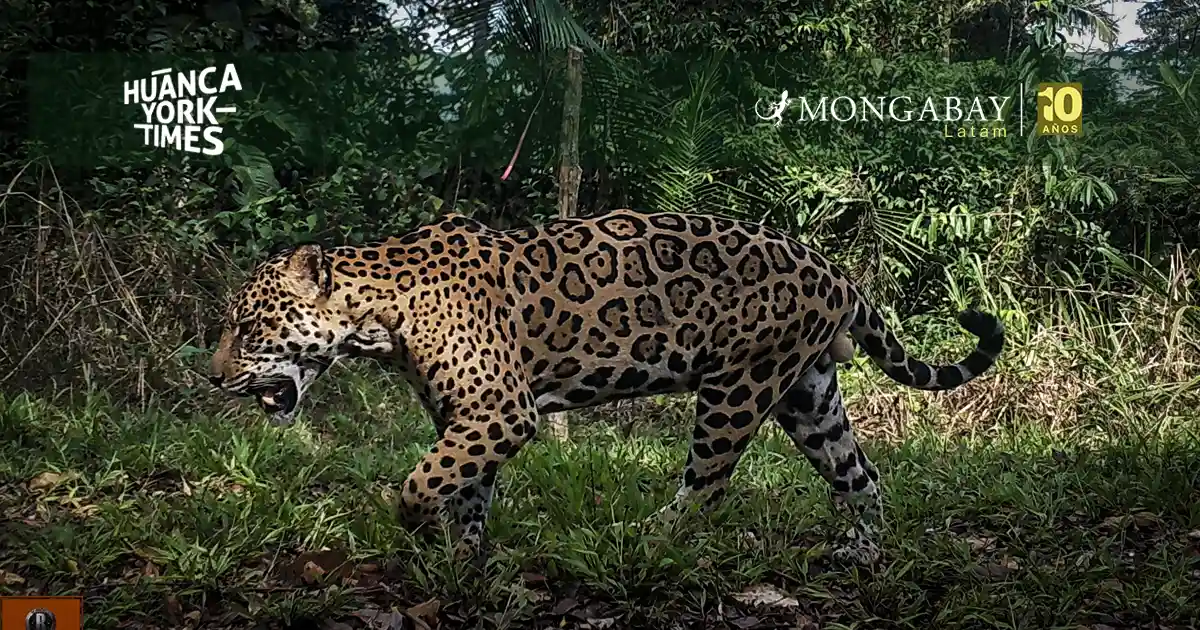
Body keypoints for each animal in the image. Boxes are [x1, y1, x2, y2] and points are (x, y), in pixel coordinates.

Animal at [209, 210, 1005, 566]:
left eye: (248, 328)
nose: (212, 377)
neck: (378, 314)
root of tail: (834, 271)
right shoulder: (467, 417)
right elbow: (463, 486)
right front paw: (464, 561)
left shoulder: (502, 410)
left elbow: (420, 481)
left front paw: (416, 528)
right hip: (807, 392)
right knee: (859, 473)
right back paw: (861, 555)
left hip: (738, 388)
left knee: (707, 486)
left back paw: (640, 540)